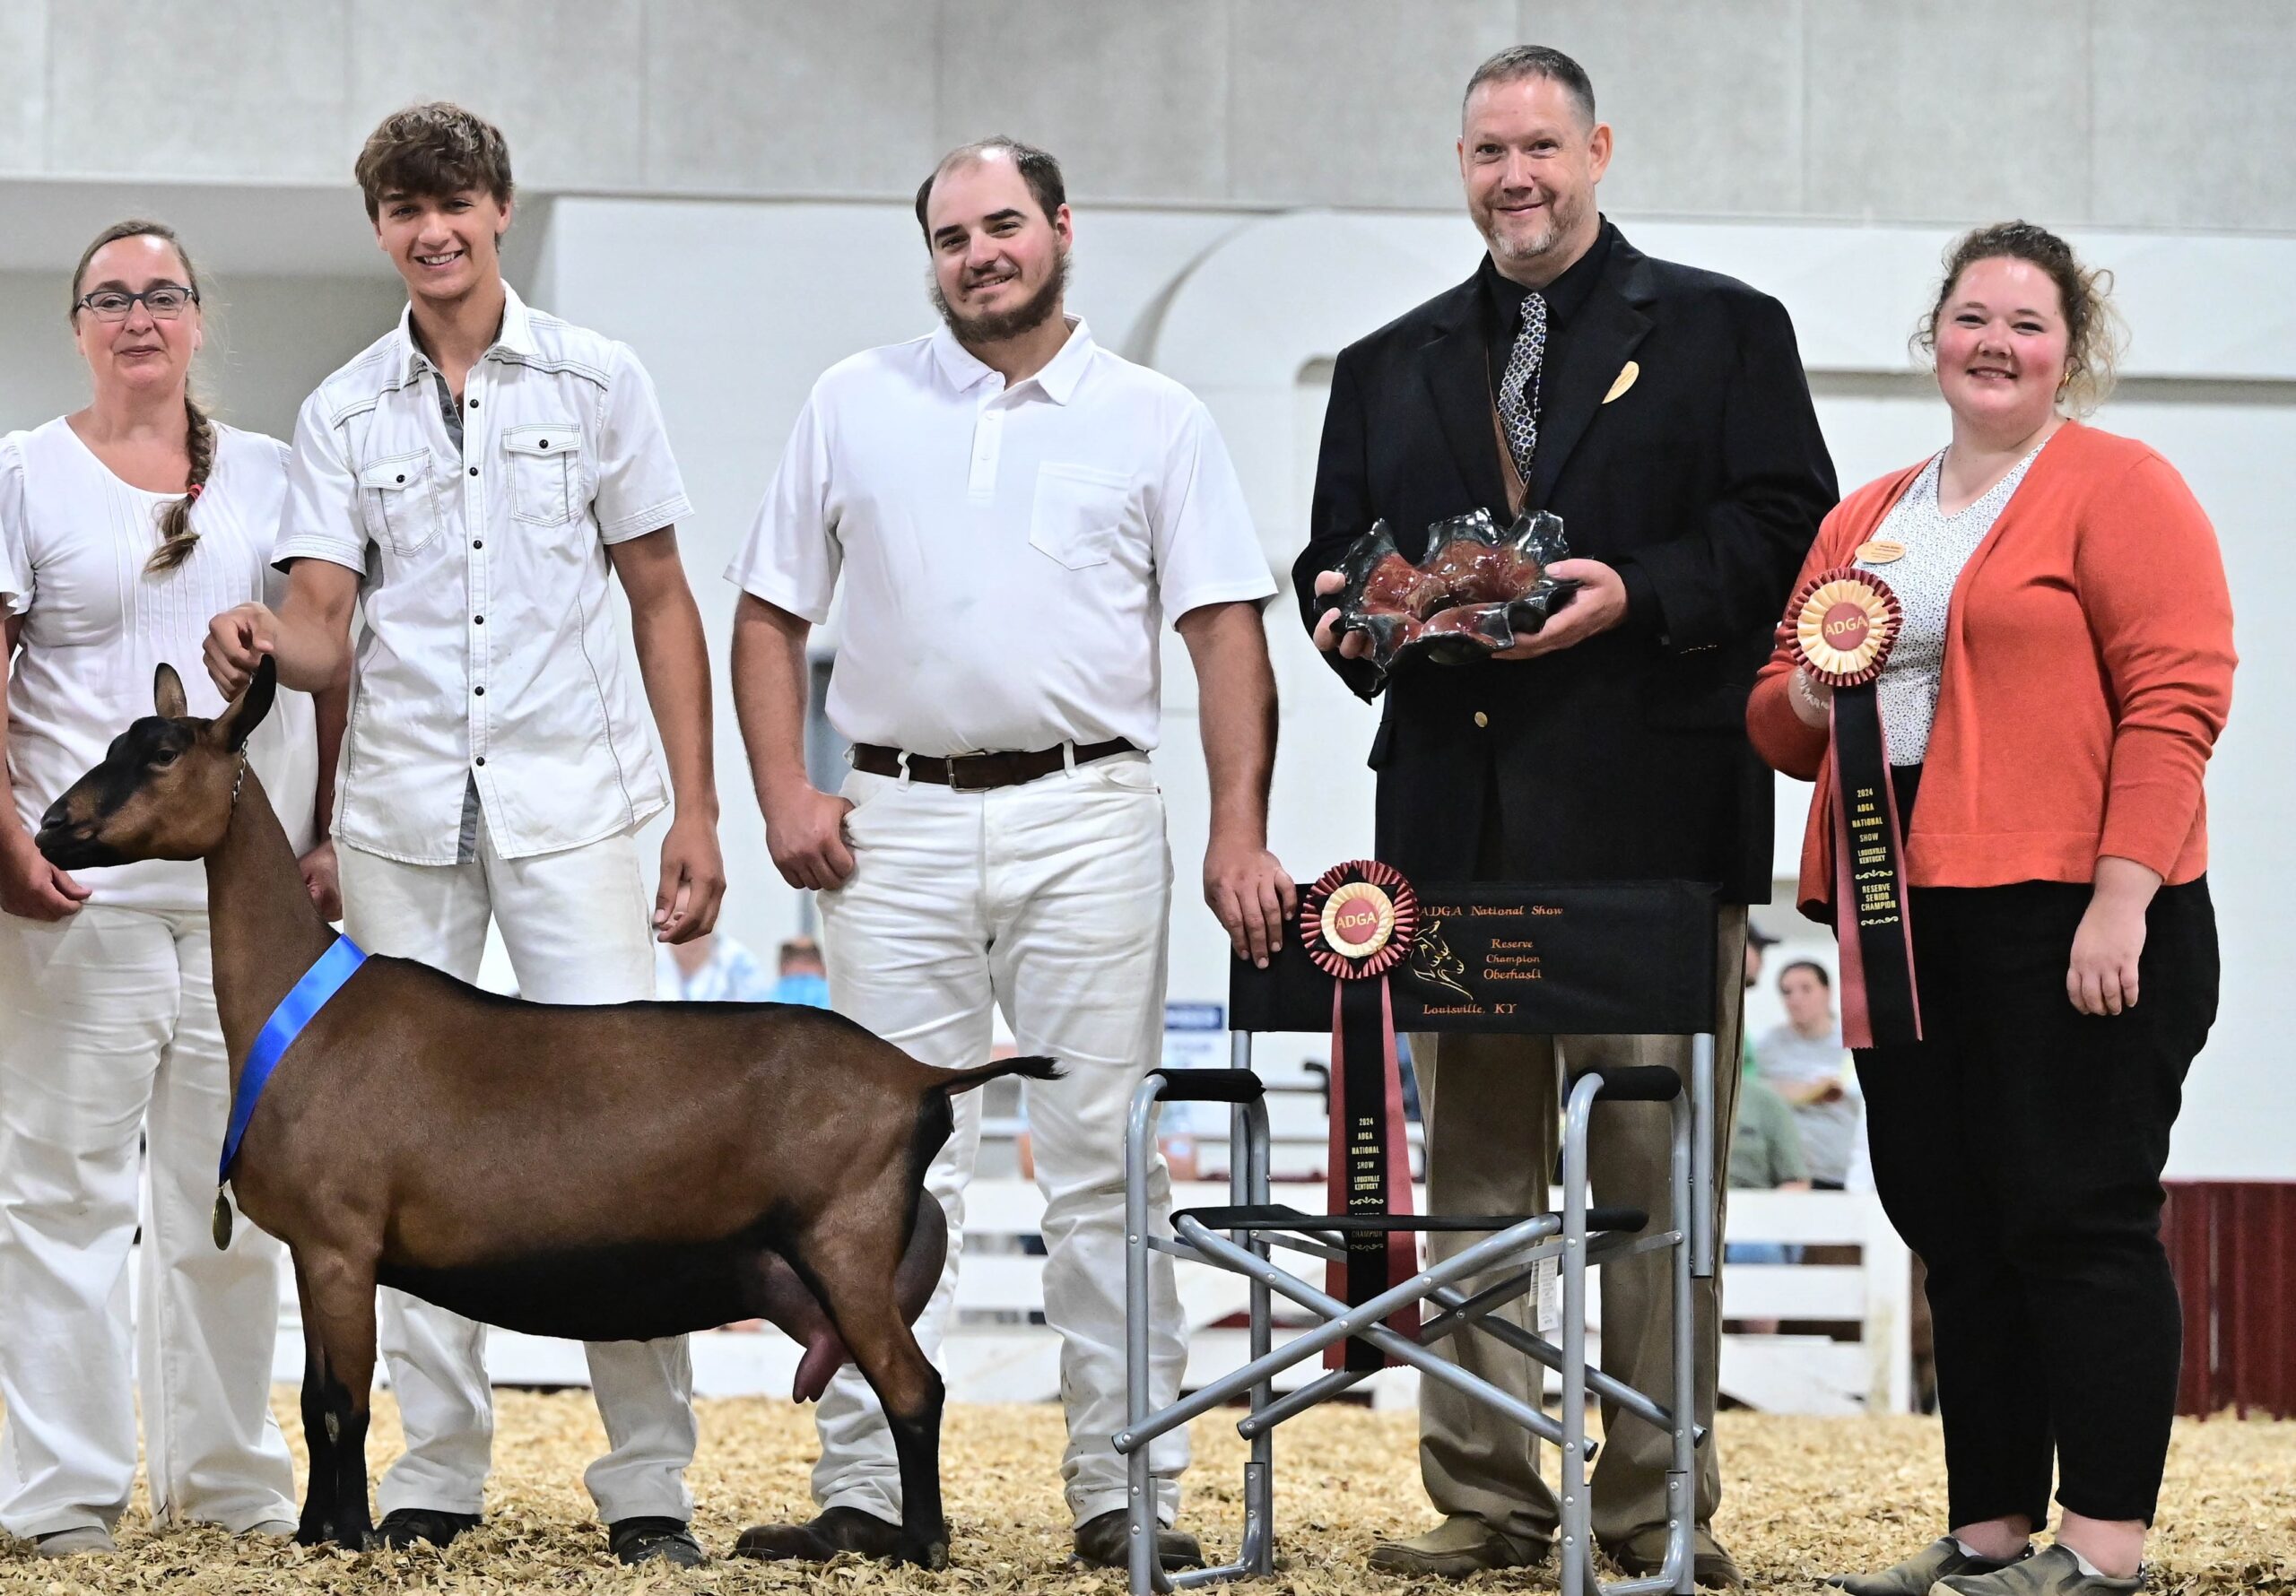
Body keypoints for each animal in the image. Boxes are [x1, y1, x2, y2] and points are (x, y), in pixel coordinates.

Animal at [36, 656, 1056, 1561]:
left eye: (163, 752)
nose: (49, 826)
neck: (303, 1005)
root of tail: (921, 1076)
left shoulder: (342, 1243)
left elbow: (345, 1403)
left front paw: (353, 1537)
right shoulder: (310, 1249)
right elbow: (316, 1396)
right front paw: (315, 1534)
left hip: (847, 1244)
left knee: (915, 1388)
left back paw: (922, 1546)